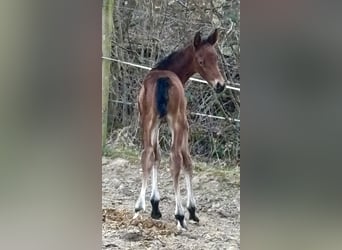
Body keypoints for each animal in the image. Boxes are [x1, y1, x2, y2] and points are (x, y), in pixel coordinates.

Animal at [134, 28, 227, 229]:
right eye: (201, 60)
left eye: (216, 58)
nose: (220, 85)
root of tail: (163, 80)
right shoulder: (184, 124)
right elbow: (188, 161)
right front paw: (191, 210)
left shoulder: (156, 124)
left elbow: (156, 156)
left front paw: (155, 207)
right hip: (177, 122)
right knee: (176, 159)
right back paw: (180, 215)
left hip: (148, 121)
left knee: (147, 154)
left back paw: (137, 208)